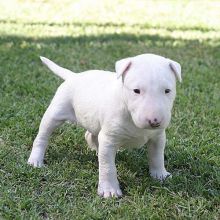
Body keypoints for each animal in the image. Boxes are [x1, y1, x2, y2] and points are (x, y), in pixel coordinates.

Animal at [27, 53, 182, 198]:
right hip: (56, 112)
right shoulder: (109, 139)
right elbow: (108, 166)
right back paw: (35, 160)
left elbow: (157, 156)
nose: (154, 121)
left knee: (90, 135)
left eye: (167, 91)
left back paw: (96, 150)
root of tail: (74, 76)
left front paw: (160, 175)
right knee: (42, 136)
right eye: (136, 90)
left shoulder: (158, 137)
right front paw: (109, 190)